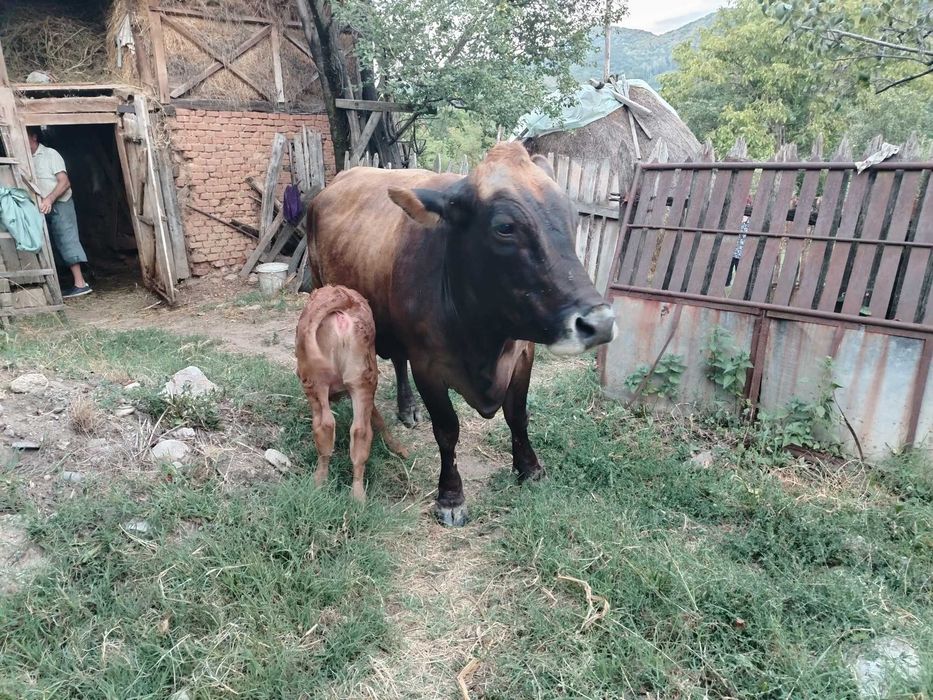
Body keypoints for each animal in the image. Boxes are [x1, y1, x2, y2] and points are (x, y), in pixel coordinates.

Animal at [295, 284, 407, 502]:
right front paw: (398, 448)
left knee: (325, 425)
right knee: (360, 431)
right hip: (363, 379)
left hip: (315, 381)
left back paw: (318, 482)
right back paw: (357, 496)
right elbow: (377, 417)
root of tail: (343, 302)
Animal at [307, 143, 616, 525]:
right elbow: (447, 429)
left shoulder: (523, 353)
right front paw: (451, 496)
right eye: (504, 227)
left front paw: (529, 469)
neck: (484, 337)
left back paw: (407, 409)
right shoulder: (427, 364)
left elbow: (518, 415)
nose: (600, 322)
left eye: (573, 217)